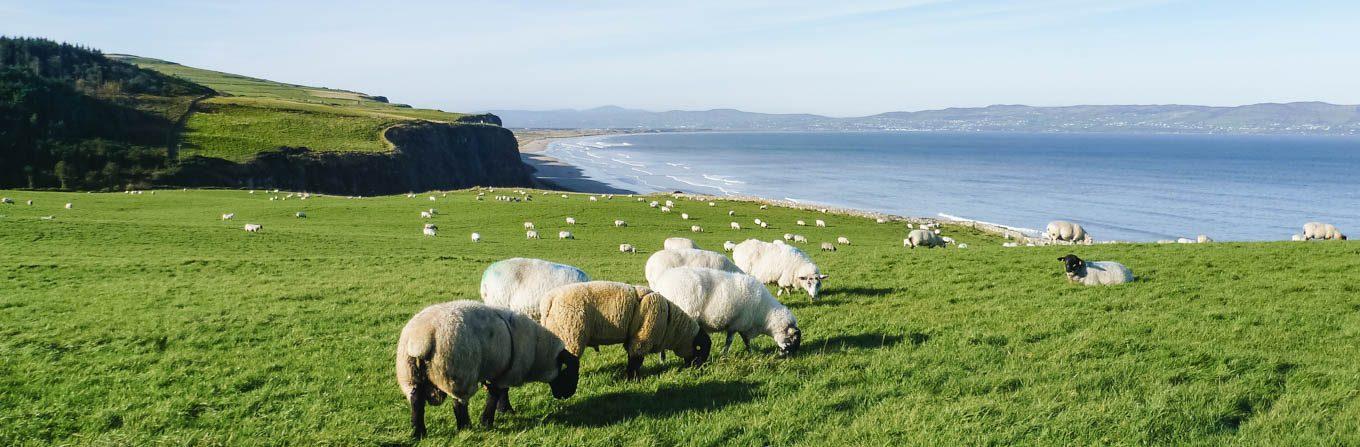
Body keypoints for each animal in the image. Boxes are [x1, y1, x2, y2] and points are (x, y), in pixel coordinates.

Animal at [397, 298, 582, 434]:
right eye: (570, 371)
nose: (568, 394)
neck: (538, 351)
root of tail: (421, 338)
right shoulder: (506, 373)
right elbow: (495, 395)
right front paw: (488, 420)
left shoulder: (500, 370)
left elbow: (500, 393)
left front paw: (503, 411)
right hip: (458, 374)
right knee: (459, 404)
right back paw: (466, 428)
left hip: (409, 375)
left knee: (416, 402)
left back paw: (418, 433)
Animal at [538, 279, 718, 377]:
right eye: (700, 349)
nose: (698, 369)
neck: (670, 324)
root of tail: (549, 300)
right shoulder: (642, 338)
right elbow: (635, 361)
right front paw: (632, 378)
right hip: (570, 333)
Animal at [652, 264, 799, 355]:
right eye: (792, 339)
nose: (785, 355)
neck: (765, 314)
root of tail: (662, 283)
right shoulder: (737, 323)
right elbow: (731, 341)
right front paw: (724, 354)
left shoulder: (742, 325)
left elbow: (746, 341)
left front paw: (750, 352)